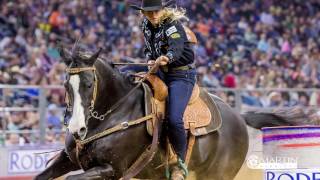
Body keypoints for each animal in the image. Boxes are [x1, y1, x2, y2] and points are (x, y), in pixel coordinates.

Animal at [35, 46, 250, 180]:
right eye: (66, 85)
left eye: (89, 84)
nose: (76, 129)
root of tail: (239, 118)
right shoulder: (67, 159)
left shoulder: (112, 169)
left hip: (217, 173)